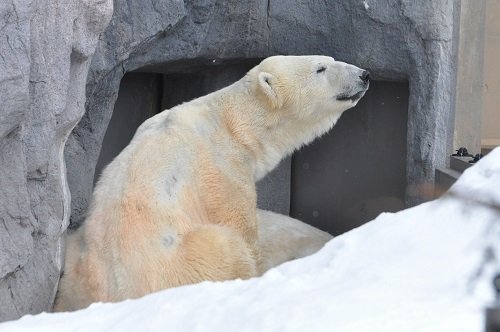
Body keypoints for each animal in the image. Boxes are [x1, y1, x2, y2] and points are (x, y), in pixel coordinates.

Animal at [54, 54, 370, 312]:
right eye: (321, 68)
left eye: (330, 60)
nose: (364, 74)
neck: (231, 121)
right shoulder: (222, 168)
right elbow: (240, 224)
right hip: (184, 259)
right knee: (225, 247)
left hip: (75, 266)